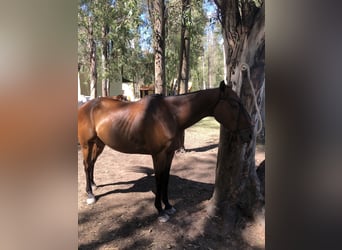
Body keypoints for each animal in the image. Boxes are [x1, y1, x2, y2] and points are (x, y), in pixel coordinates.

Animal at [78, 81, 254, 222]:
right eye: (235, 105)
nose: (250, 134)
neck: (171, 115)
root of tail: (86, 106)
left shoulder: (169, 154)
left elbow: (166, 179)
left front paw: (168, 206)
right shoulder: (158, 155)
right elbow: (159, 180)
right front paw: (160, 211)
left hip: (99, 144)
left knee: (92, 164)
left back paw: (93, 185)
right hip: (86, 145)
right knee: (86, 165)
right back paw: (90, 195)